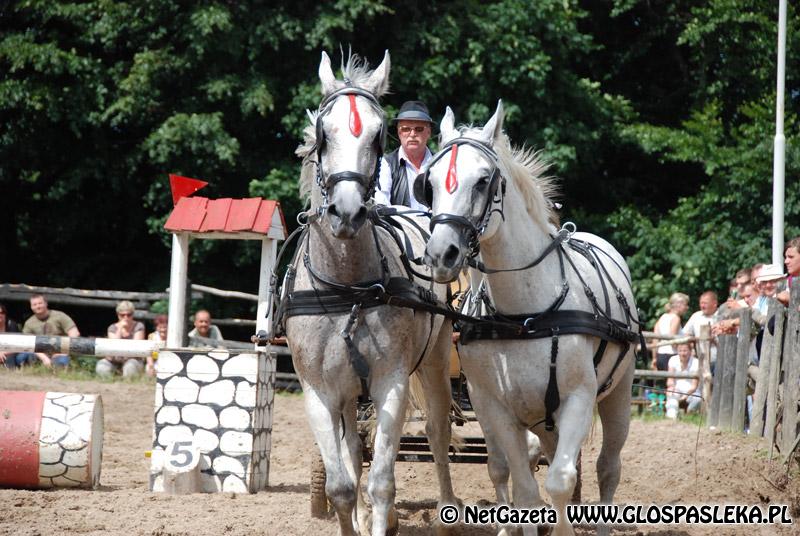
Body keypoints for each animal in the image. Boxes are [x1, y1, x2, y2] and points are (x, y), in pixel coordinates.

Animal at [286, 51, 462, 536]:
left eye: (379, 133)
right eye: (323, 134)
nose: (346, 212)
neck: (348, 289)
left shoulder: (391, 383)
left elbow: (382, 481)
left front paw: (383, 516)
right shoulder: (318, 392)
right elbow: (342, 486)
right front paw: (357, 517)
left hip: (436, 360)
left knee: (438, 432)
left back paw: (448, 510)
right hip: (348, 393)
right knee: (352, 449)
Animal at [418, 101, 636, 536]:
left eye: (483, 181)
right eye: (430, 182)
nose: (440, 254)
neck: (524, 315)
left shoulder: (578, 398)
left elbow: (561, 481)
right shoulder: (495, 408)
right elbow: (525, 488)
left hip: (618, 393)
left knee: (607, 468)